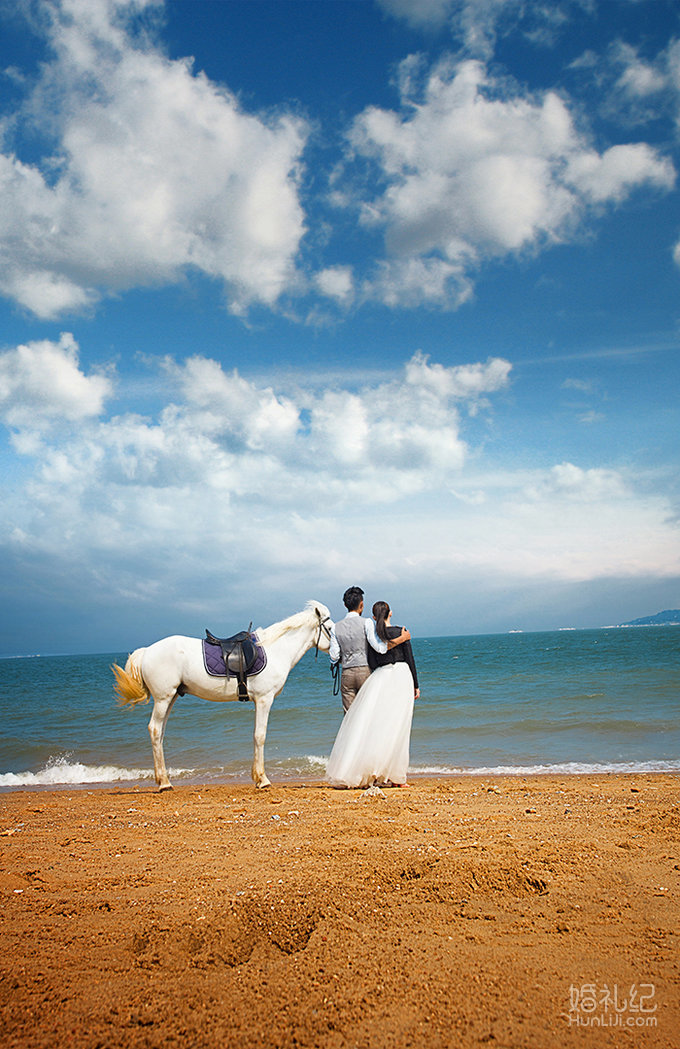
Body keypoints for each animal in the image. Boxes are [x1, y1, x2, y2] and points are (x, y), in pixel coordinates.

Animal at [111, 600, 331, 788]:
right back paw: (164, 783)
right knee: (155, 730)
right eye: (329, 628)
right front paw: (262, 779)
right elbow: (260, 736)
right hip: (163, 699)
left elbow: (256, 736)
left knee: (160, 732)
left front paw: (257, 777)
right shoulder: (264, 699)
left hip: (170, 697)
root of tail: (147, 651)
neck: (275, 650)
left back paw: (162, 779)